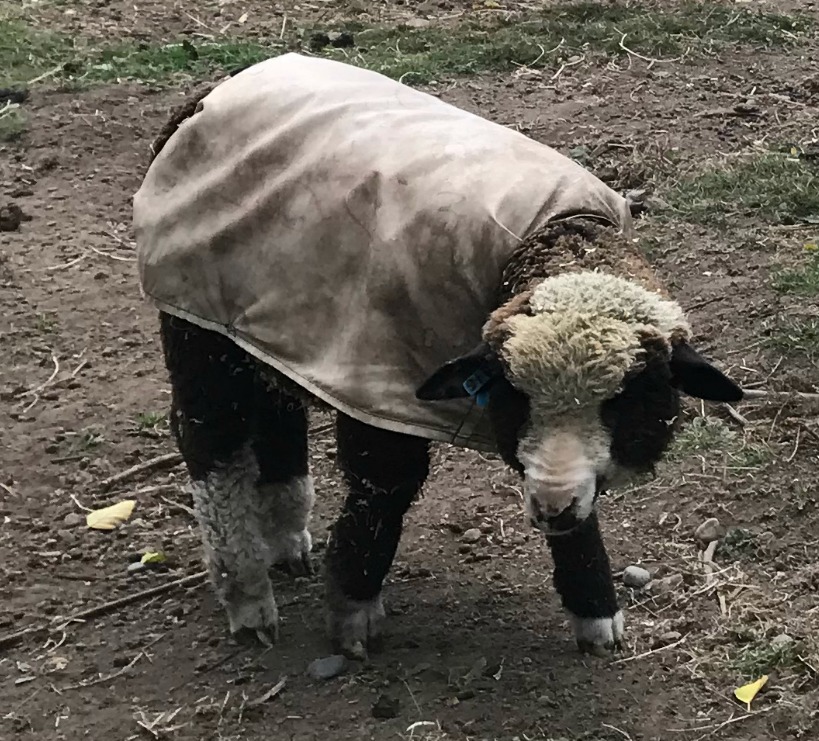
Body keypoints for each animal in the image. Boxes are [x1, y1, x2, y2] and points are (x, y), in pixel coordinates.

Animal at [133, 53, 744, 658]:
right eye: (514, 399)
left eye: (625, 403)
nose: (551, 509)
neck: (555, 237)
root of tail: (214, 91)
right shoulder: (379, 382)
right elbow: (385, 488)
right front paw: (353, 610)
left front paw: (595, 613)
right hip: (196, 324)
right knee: (212, 441)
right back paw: (248, 595)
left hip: (266, 327)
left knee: (278, 414)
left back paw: (286, 541)